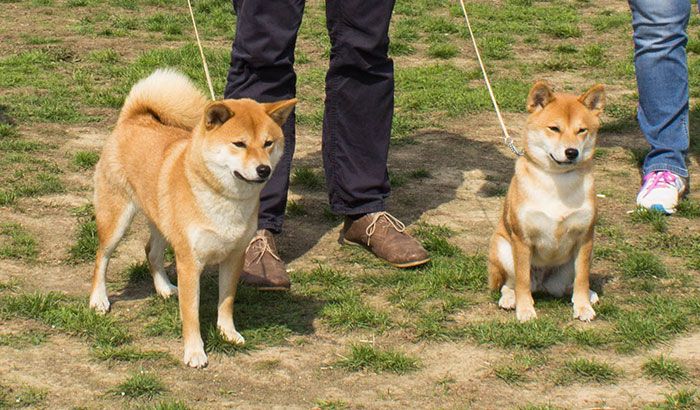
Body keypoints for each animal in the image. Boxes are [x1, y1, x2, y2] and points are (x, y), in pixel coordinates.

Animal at [88, 69, 296, 366]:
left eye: (268, 143)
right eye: (239, 144)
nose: (264, 169)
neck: (224, 200)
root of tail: (134, 118)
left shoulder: (234, 257)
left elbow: (226, 302)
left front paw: (228, 333)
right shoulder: (189, 262)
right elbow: (191, 314)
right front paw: (195, 352)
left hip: (163, 221)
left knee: (151, 251)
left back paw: (164, 287)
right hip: (116, 220)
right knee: (101, 258)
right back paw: (99, 300)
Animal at [490, 81, 604, 324]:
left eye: (582, 130)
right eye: (554, 128)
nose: (572, 152)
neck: (558, 181)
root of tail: (543, 285)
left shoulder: (585, 237)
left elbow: (582, 279)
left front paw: (583, 307)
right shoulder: (522, 239)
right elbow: (522, 281)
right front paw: (525, 310)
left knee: (572, 283)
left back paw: (588, 295)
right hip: (502, 247)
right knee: (509, 283)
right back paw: (509, 299)